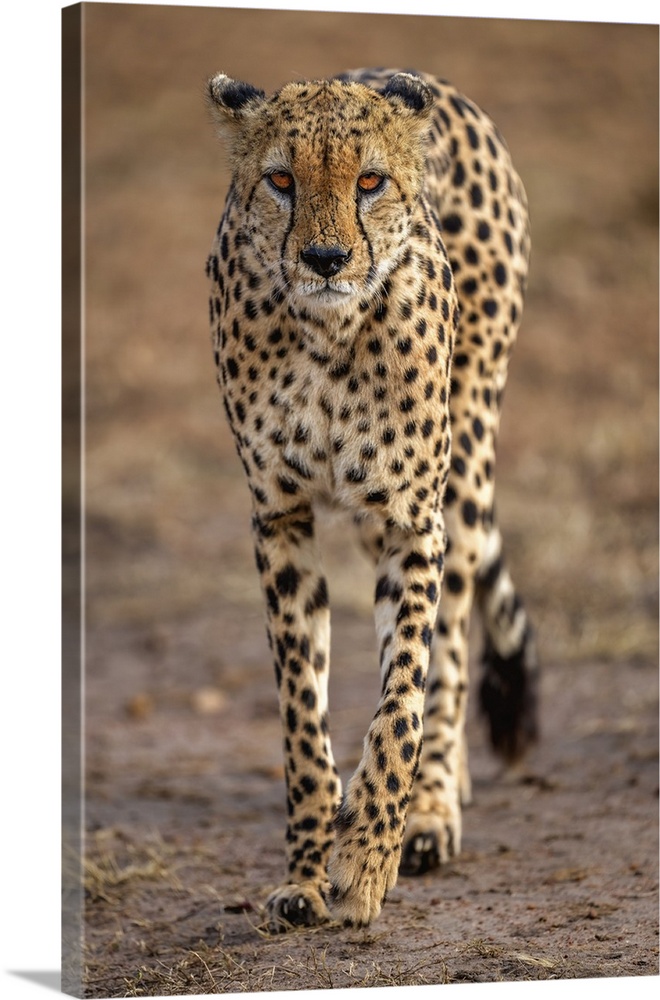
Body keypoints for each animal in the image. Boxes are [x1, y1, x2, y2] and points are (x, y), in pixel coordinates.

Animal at [205, 67, 539, 932]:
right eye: (280, 181)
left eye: (369, 182)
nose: (325, 258)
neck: (328, 335)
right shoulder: (280, 519)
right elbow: (301, 716)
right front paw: (305, 874)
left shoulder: (412, 521)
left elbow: (402, 700)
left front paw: (365, 860)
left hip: (465, 462)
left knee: (451, 646)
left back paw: (430, 810)